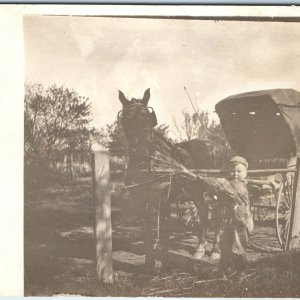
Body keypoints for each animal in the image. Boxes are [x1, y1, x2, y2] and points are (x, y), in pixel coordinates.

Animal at [118, 88, 226, 270]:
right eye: (126, 119)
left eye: (148, 118)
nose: (143, 152)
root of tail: (219, 147)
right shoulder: (140, 200)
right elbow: (146, 231)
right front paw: (149, 264)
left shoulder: (164, 199)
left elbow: (165, 232)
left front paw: (165, 265)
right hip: (196, 191)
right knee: (204, 214)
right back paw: (200, 249)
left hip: (216, 191)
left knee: (218, 216)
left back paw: (216, 252)